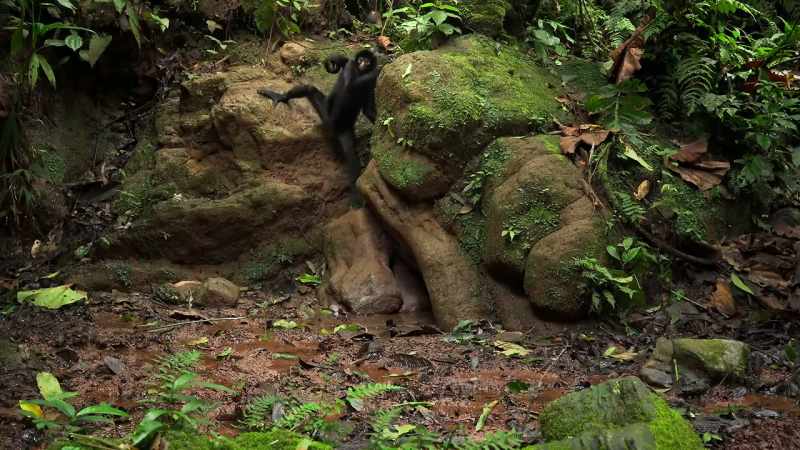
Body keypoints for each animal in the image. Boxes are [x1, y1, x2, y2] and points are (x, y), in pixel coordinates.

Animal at [258, 49, 379, 189]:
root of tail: (333, 127)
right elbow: (348, 75)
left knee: (351, 157)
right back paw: (279, 97)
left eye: (367, 61)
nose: (363, 63)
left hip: (341, 126)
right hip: (325, 113)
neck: (359, 73)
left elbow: (368, 109)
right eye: (361, 59)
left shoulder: (369, 85)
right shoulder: (353, 68)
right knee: (309, 88)